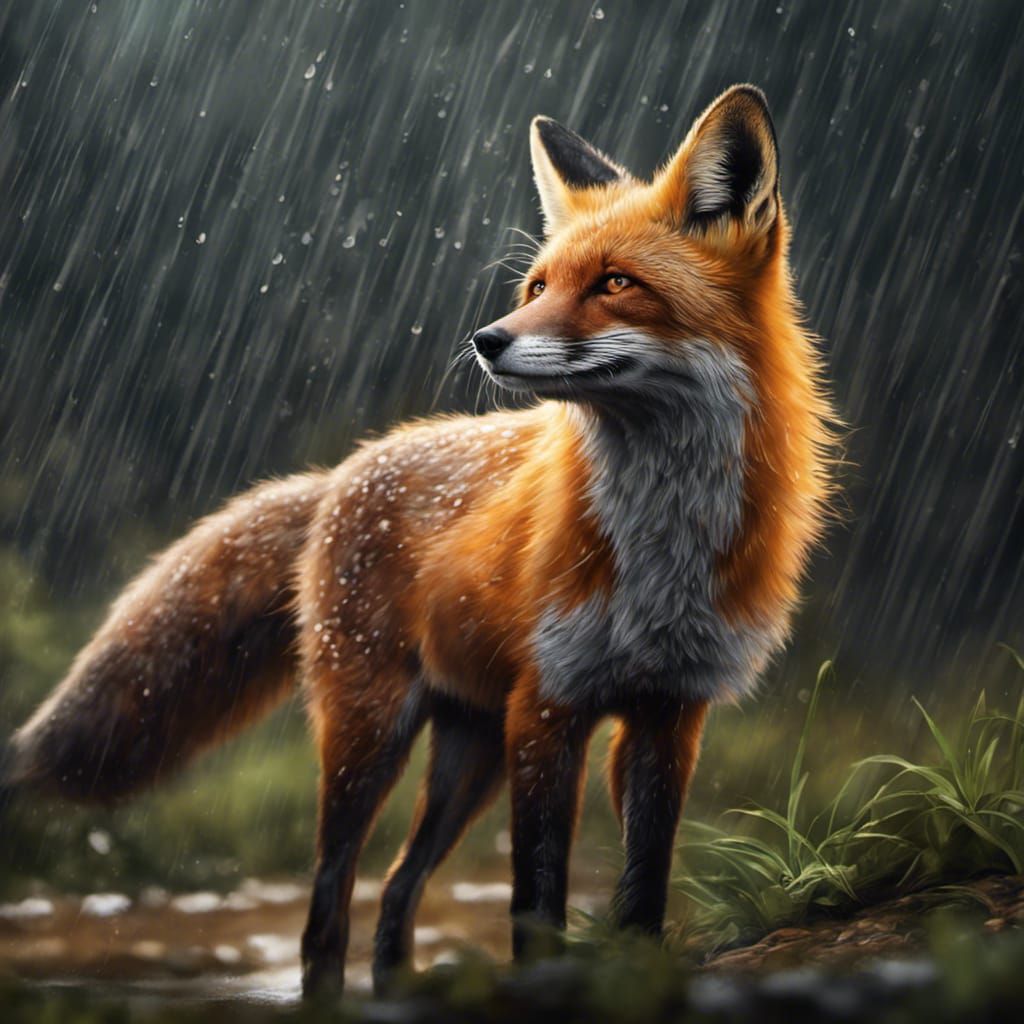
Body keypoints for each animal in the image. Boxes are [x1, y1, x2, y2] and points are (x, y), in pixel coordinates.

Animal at [2, 85, 835, 996]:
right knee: (330, 909)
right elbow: (534, 902)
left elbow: (643, 890)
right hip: (371, 738)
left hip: (470, 752)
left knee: (398, 891)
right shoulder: (550, 706)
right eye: (537, 285)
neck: (661, 548)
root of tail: (345, 469)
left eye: (616, 283)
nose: (488, 338)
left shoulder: (669, 711)